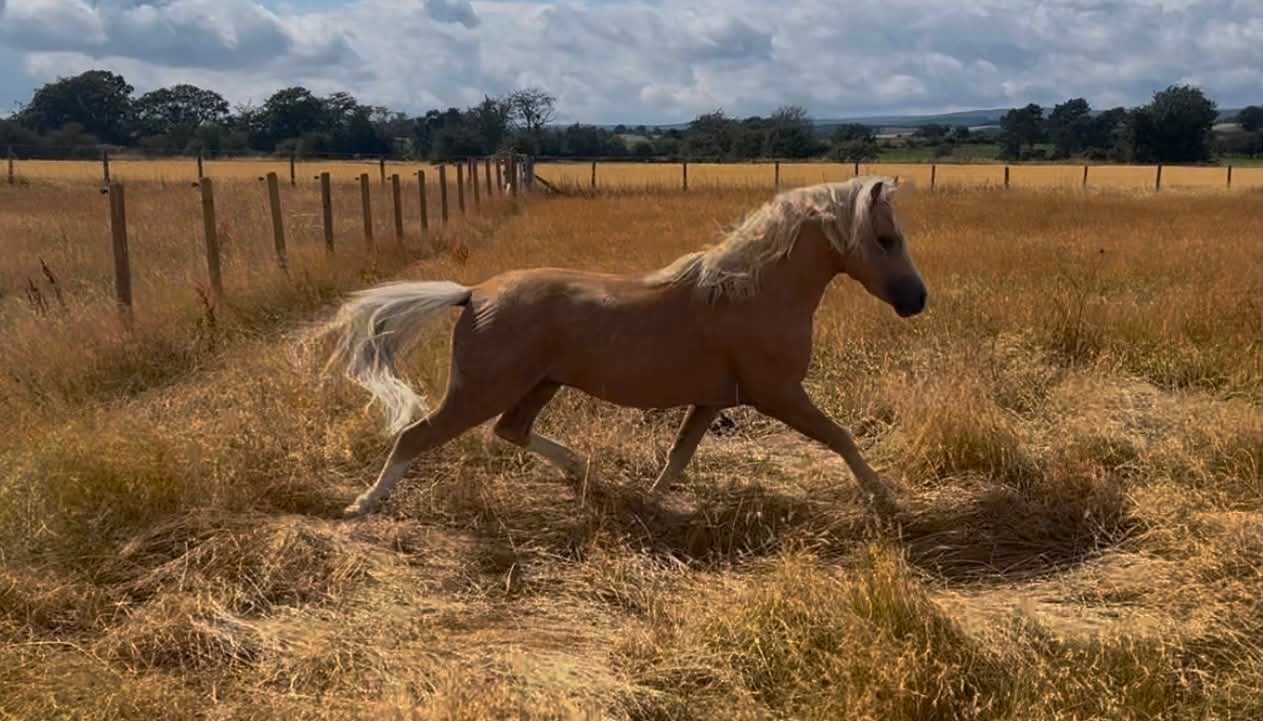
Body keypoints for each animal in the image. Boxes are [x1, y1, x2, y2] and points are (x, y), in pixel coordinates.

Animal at [319, 175, 927, 518]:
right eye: (885, 238)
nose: (917, 300)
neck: (751, 291)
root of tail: (472, 295)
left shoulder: (714, 399)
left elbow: (679, 455)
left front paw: (649, 501)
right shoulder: (777, 393)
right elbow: (840, 436)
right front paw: (885, 498)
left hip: (540, 384)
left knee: (511, 430)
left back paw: (583, 471)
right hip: (481, 390)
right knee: (416, 437)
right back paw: (362, 506)